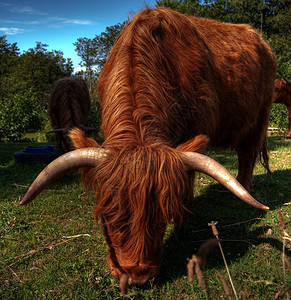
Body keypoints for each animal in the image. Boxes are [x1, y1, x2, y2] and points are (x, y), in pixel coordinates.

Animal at [21, 8, 278, 290]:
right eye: (106, 215)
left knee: (247, 155)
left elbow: (187, 182)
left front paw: (182, 224)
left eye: (161, 216)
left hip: (259, 117)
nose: (137, 276)